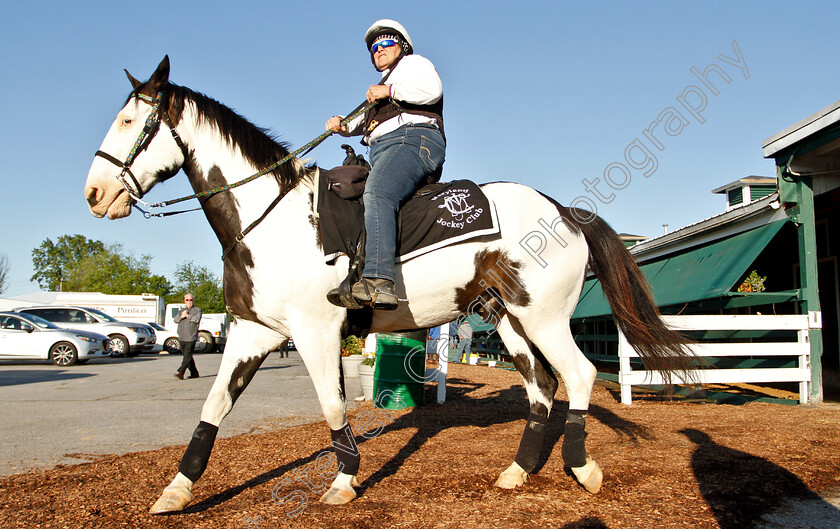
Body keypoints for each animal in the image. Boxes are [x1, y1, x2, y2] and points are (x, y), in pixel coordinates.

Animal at [82, 56, 692, 512]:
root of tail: (565, 211)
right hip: (511, 321)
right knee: (542, 386)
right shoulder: (253, 332)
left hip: (543, 317)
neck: (270, 218)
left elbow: (332, 406)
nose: (94, 194)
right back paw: (517, 472)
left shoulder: (316, 332)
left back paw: (582, 469)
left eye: (133, 123)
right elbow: (213, 406)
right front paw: (176, 490)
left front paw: (342, 481)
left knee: (579, 374)